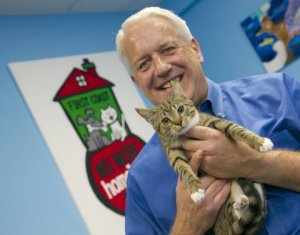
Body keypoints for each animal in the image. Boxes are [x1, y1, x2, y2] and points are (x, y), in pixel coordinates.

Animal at [136, 79, 272, 235]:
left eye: (180, 109)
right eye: (165, 120)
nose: (178, 122)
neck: (187, 133)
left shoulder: (213, 122)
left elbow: (235, 128)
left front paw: (260, 142)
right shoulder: (172, 151)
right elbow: (182, 167)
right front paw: (195, 190)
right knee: (236, 213)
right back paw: (241, 204)